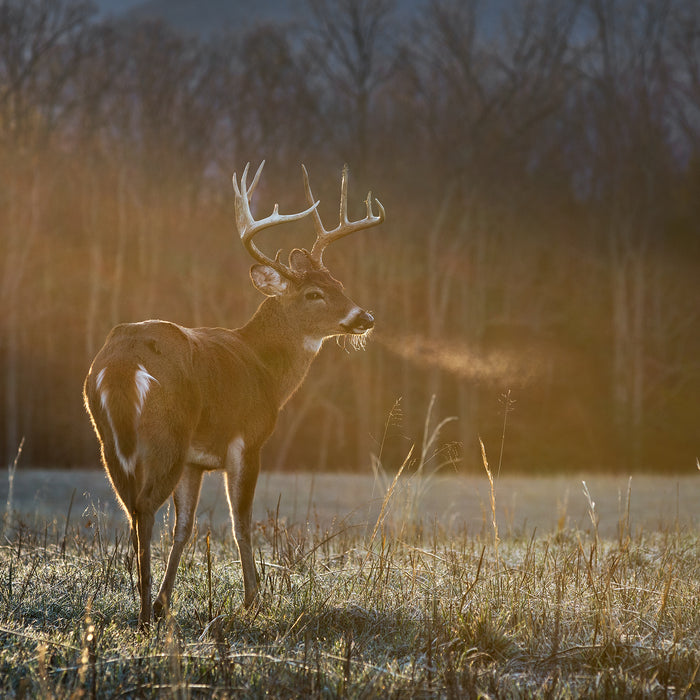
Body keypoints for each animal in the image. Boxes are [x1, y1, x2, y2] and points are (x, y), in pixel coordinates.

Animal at [86, 164, 388, 628]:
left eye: (338, 282)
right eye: (313, 294)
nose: (365, 317)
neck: (265, 369)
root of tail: (120, 365)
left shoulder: (195, 459)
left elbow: (185, 527)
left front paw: (167, 601)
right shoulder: (247, 439)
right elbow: (240, 522)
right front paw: (252, 600)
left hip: (110, 442)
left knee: (133, 511)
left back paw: (147, 606)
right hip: (165, 436)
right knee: (145, 508)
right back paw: (143, 616)